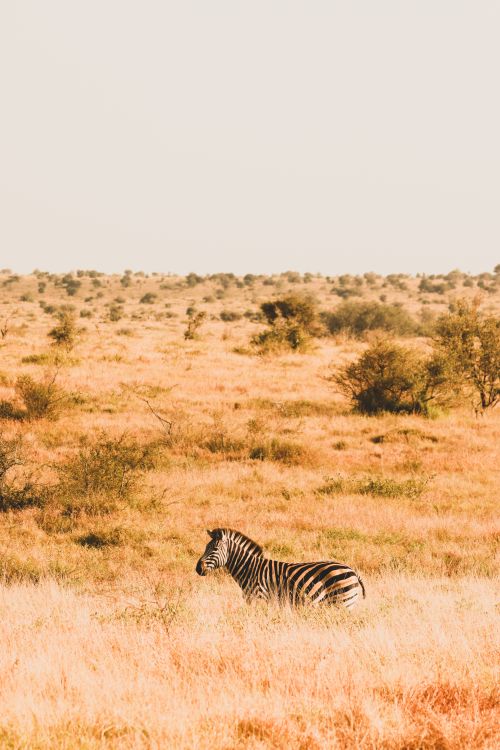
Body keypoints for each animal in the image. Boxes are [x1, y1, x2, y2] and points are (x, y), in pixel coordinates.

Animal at [195, 528, 365, 608]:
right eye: (205, 547)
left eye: (214, 549)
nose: (198, 568)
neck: (250, 569)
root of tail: (353, 571)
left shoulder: (259, 598)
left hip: (342, 602)